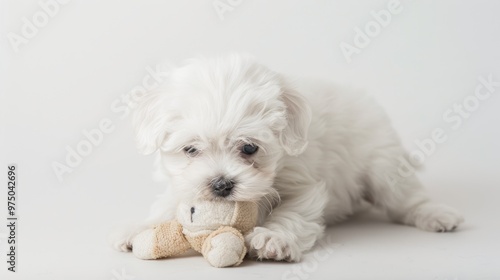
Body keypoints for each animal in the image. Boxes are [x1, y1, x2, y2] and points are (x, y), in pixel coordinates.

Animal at [110, 53, 464, 262]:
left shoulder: (304, 183)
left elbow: (293, 211)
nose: (221, 185)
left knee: (407, 198)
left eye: (249, 148)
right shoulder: (182, 183)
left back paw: (436, 215)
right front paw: (139, 228)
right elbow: (169, 203)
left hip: (382, 164)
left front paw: (272, 237)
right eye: (191, 150)